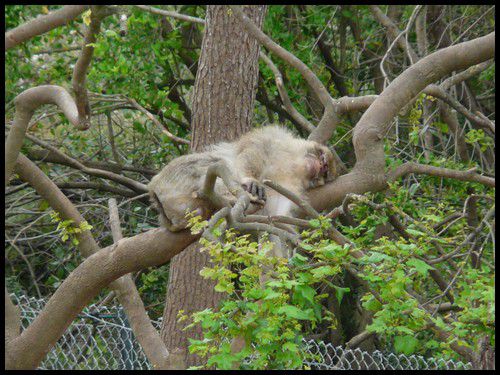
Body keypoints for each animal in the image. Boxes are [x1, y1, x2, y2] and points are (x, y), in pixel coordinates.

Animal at [147, 126, 336, 248]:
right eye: (323, 162)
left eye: (324, 174)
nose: (319, 169)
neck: (292, 166)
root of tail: (154, 189)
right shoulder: (275, 137)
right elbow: (252, 151)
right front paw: (250, 181)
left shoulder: (287, 186)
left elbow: (275, 212)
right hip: (175, 178)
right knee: (216, 165)